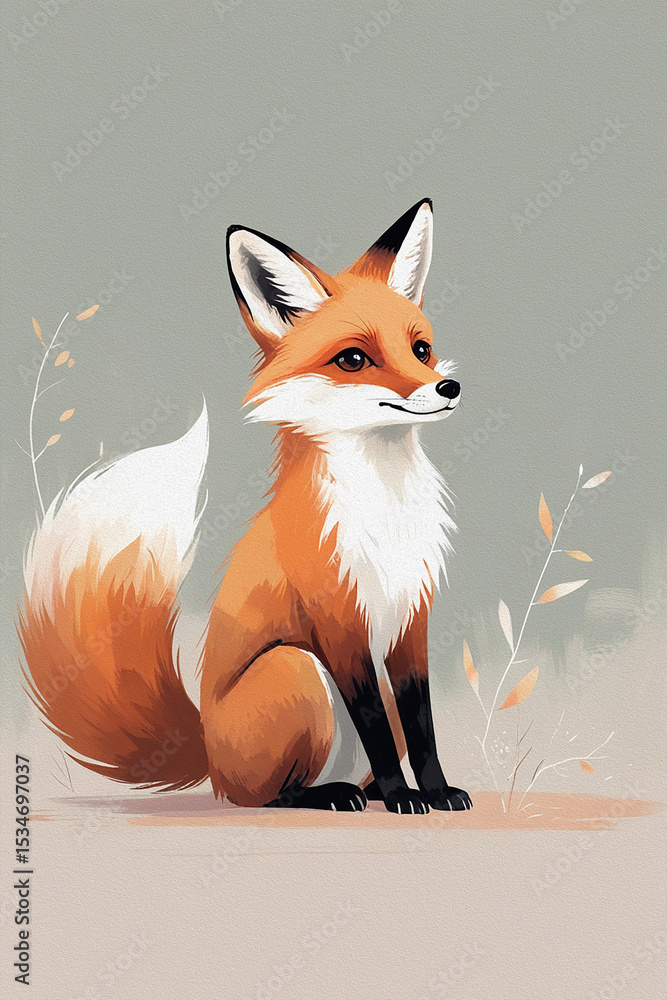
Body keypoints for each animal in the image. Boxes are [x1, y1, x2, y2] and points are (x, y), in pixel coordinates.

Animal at [19, 198, 472, 815]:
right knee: (268, 796)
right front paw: (406, 798)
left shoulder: (411, 617)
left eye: (420, 349)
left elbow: (420, 723)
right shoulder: (339, 621)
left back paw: (367, 793)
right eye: (354, 358)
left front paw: (435, 791)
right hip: (297, 668)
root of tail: (207, 753)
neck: (386, 506)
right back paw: (332, 795)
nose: (447, 388)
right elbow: (377, 725)